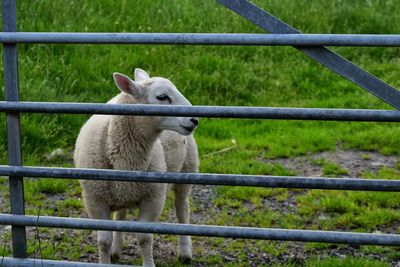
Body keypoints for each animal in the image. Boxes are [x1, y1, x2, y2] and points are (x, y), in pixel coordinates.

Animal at [73, 69, 198, 267]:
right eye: (162, 97)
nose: (194, 119)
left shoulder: (152, 198)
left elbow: (144, 238)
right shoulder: (95, 200)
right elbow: (103, 241)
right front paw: (107, 256)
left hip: (187, 169)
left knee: (182, 209)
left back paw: (185, 252)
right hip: (121, 191)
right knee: (121, 215)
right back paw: (116, 250)